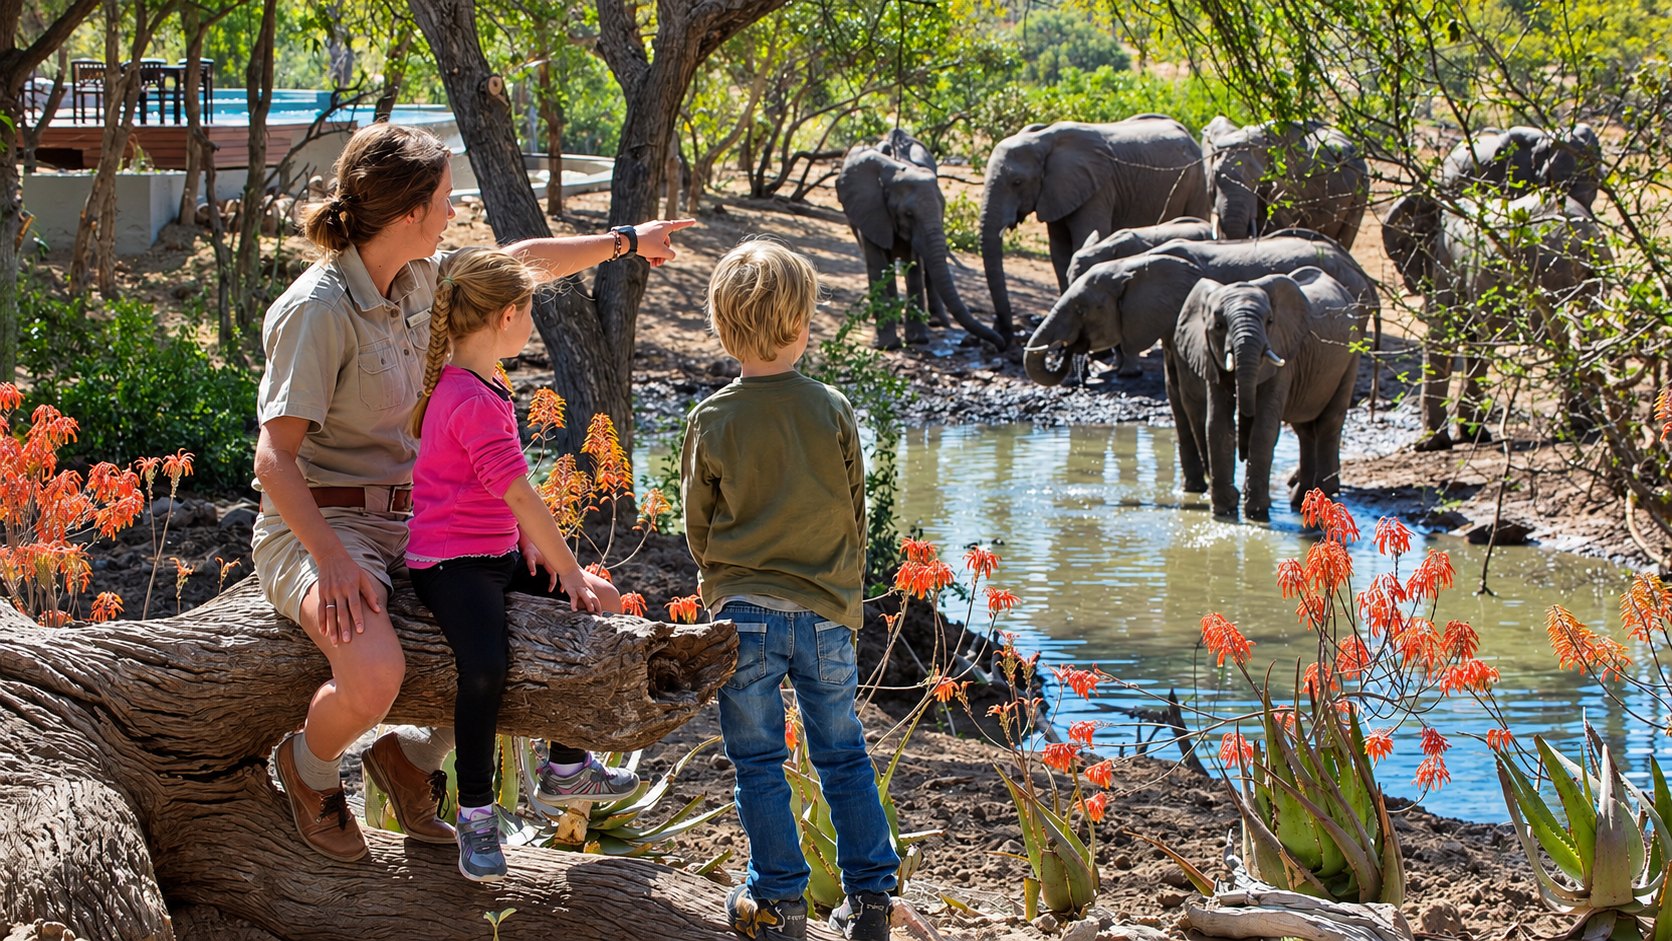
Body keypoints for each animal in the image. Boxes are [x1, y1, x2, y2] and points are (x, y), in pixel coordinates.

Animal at [836, 135, 1005, 349]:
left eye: (943, 210)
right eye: (908, 214)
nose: (1001, 345)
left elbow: (914, 266)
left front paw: (917, 340)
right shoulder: (870, 211)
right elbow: (877, 265)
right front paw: (888, 345)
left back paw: (937, 322)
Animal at [979, 115, 1209, 342]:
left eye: (1017, 182)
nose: (1004, 332)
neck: (1043, 140)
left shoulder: (1097, 188)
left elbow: (1084, 236)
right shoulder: (1057, 193)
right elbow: (1059, 252)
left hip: (1198, 179)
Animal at [1167, 267, 1366, 520]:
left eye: (1270, 321)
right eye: (1219, 325)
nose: (1242, 455)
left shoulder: (1283, 353)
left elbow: (1264, 428)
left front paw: (1256, 512)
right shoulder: (1210, 356)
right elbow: (1217, 425)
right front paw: (1224, 510)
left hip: (1352, 355)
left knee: (1329, 423)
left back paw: (1325, 500)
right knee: (1305, 431)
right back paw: (1301, 500)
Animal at [1381, 190, 1612, 451]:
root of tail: (1582, 237)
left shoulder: (1446, 263)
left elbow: (1443, 335)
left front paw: (1428, 445)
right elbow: (1475, 342)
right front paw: (1472, 436)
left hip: (1545, 271)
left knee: (1556, 336)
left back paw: (1573, 428)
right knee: (1587, 330)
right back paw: (1588, 425)